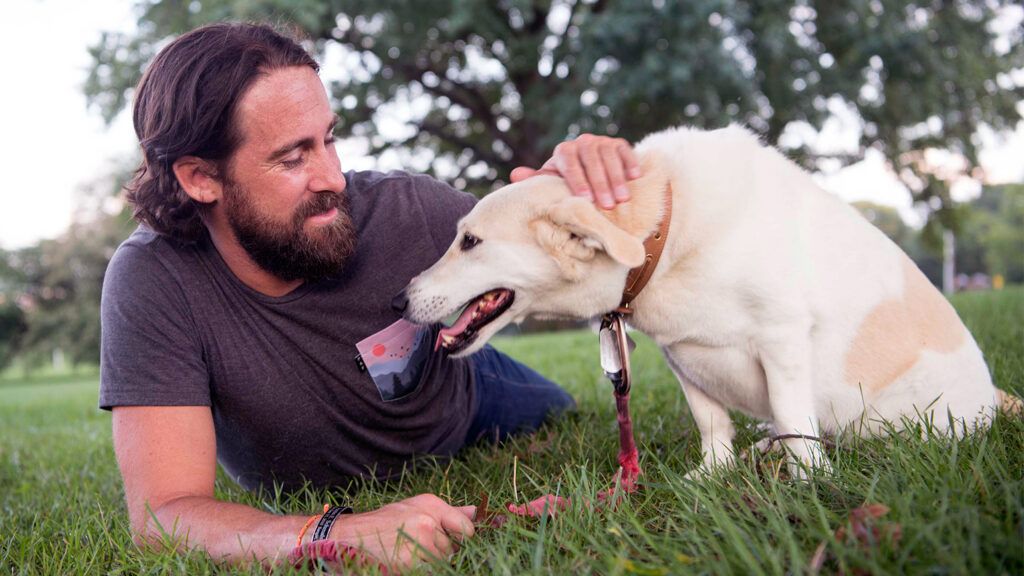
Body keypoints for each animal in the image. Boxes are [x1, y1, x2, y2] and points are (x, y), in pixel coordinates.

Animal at [397, 124, 1007, 471]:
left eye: (470, 242)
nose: (400, 299)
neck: (664, 236)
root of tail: (996, 400)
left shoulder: (782, 339)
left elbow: (795, 422)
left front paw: (810, 483)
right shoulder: (683, 355)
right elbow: (712, 426)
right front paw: (713, 476)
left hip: (887, 421)